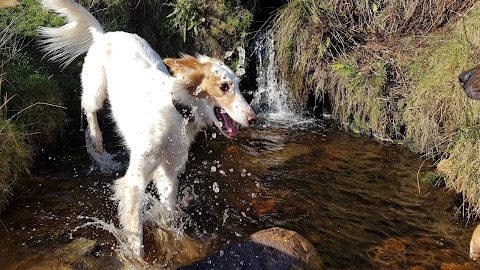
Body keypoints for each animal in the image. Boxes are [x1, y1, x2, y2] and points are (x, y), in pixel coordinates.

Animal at [38, 0, 255, 258]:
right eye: (224, 86)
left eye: (239, 86)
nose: (253, 118)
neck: (176, 112)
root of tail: (105, 34)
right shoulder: (134, 180)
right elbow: (135, 232)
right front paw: (138, 258)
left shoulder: (168, 174)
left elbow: (169, 214)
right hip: (95, 91)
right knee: (89, 110)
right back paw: (98, 141)